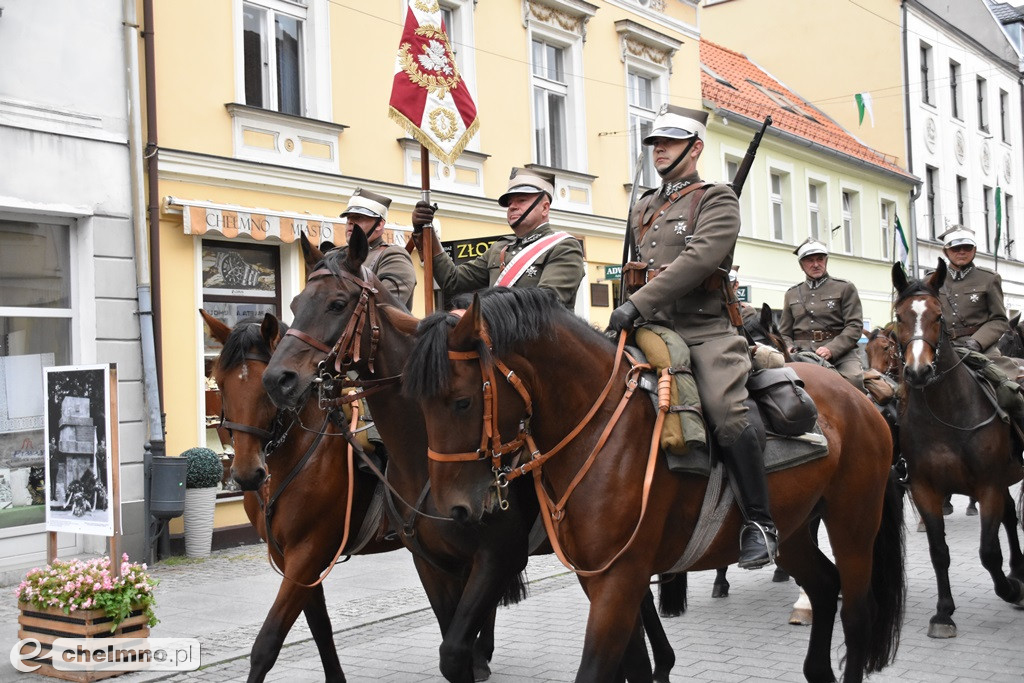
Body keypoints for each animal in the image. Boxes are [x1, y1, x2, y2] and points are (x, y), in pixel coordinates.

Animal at [197, 311, 401, 683]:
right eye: (219, 382)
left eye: (268, 386)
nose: (247, 473)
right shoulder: (291, 558)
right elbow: (320, 627)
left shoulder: (308, 553)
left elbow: (268, 641)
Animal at [262, 231, 679, 683]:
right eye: (294, 304)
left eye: (337, 304)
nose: (277, 379)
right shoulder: (431, 563)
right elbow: (451, 646)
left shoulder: (499, 556)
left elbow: (457, 648)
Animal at [403, 288, 909, 683]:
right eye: (417, 405)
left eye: (462, 401)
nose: (454, 510)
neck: (600, 428)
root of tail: (859, 399)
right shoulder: (601, 578)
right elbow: (634, 667)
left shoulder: (620, 579)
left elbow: (598, 671)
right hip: (795, 529)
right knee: (824, 586)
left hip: (853, 523)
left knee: (857, 613)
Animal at [888, 259, 1024, 638]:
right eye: (899, 316)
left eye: (938, 316)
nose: (918, 371)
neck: (946, 414)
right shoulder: (925, 489)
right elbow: (939, 552)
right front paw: (943, 613)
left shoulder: (988, 486)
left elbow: (988, 552)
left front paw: (1010, 590)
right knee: (1010, 516)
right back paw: (1018, 569)